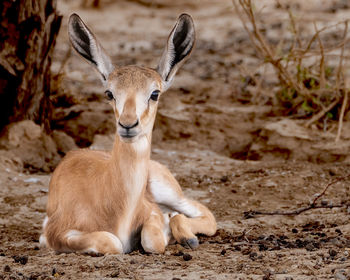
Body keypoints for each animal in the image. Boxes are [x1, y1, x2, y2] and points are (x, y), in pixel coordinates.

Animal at [40, 12, 216, 254]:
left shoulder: (151, 211)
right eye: (109, 93)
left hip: (169, 191)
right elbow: (112, 241)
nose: (128, 124)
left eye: (155, 93)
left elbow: (153, 240)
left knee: (202, 213)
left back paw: (187, 236)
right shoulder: (55, 232)